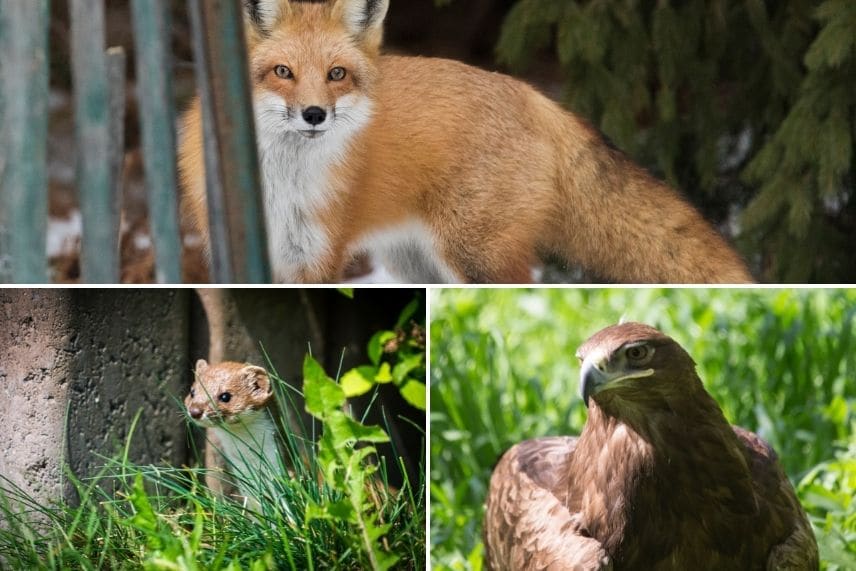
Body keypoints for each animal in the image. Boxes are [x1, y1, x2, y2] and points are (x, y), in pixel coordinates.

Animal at [179, 0, 748, 284]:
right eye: (283, 72)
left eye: (336, 74)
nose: (315, 115)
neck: (278, 187)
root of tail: (533, 95)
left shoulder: (316, 259)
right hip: (418, 266)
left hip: (475, 257)